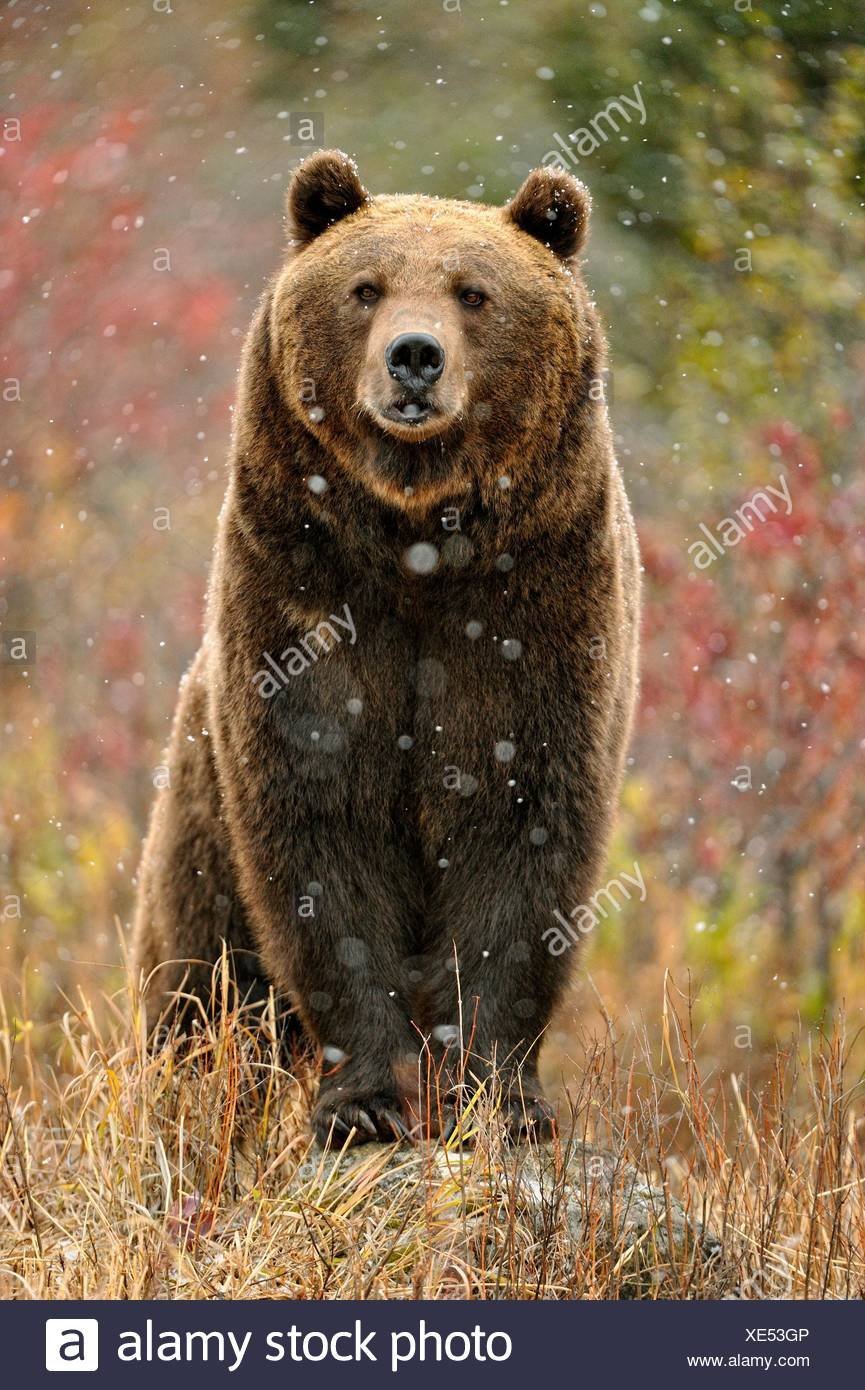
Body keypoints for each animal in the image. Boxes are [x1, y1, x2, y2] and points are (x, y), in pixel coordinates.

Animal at [132, 149, 640, 1147]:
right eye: (365, 288)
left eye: (473, 292)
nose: (414, 356)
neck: (415, 544)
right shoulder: (302, 605)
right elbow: (319, 838)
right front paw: (363, 1104)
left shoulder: (538, 622)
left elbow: (521, 846)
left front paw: (500, 1100)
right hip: (193, 840)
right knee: (198, 988)